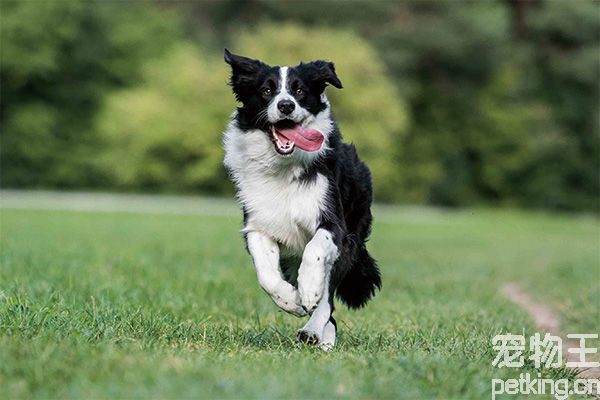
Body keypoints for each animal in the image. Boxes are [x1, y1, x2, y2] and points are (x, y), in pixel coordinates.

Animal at [223, 50, 382, 350]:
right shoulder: (258, 225)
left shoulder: (334, 224)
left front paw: (307, 291)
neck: (284, 168)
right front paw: (290, 301)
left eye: (299, 90)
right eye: (266, 90)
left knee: (328, 299)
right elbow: (266, 273)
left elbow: (315, 251)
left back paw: (315, 331)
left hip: (351, 240)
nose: (285, 105)